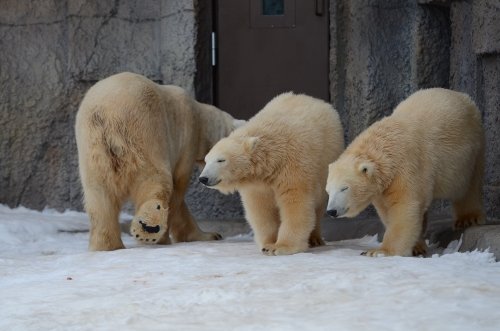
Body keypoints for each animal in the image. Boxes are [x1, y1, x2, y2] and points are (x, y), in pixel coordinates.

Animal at [75, 71, 244, 250]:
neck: (201, 121)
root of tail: (106, 114)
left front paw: (209, 235)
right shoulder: (186, 140)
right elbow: (177, 189)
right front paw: (167, 238)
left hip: (93, 147)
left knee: (99, 195)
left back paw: (107, 245)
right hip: (144, 130)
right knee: (155, 179)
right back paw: (149, 230)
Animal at [198, 93, 344, 256]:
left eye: (221, 160)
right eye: (206, 160)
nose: (203, 178)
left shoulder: (293, 165)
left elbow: (295, 203)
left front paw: (281, 247)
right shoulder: (258, 183)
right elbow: (261, 208)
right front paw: (268, 244)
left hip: (325, 164)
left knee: (318, 205)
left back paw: (315, 239)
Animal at [324, 87, 484, 256]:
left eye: (344, 188)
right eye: (328, 191)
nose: (331, 211)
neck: (386, 148)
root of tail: (459, 94)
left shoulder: (406, 166)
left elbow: (403, 206)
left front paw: (379, 251)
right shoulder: (383, 185)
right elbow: (388, 211)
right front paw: (416, 246)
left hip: (472, 148)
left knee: (468, 185)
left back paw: (468, 218)